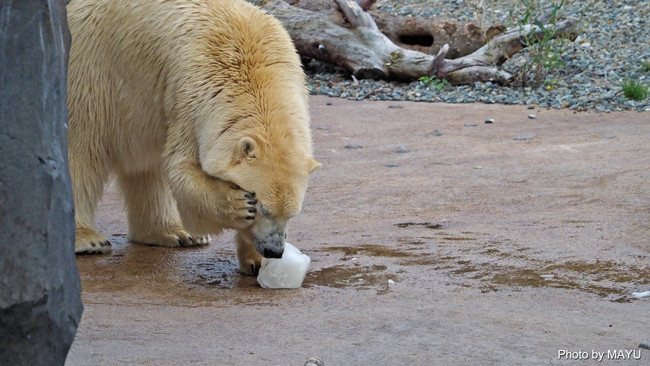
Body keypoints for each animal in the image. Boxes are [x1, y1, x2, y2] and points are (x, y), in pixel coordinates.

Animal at [66, 0, 318, 274]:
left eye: (292, 214)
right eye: (264, 209)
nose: (274, 250)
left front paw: (256, 261)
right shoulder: (194, 94)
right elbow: (183, 167)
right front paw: (237, 205)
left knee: (146, 166)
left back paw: (174, 233)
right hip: (93, 72)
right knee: (82, 148)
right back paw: (87, 239)